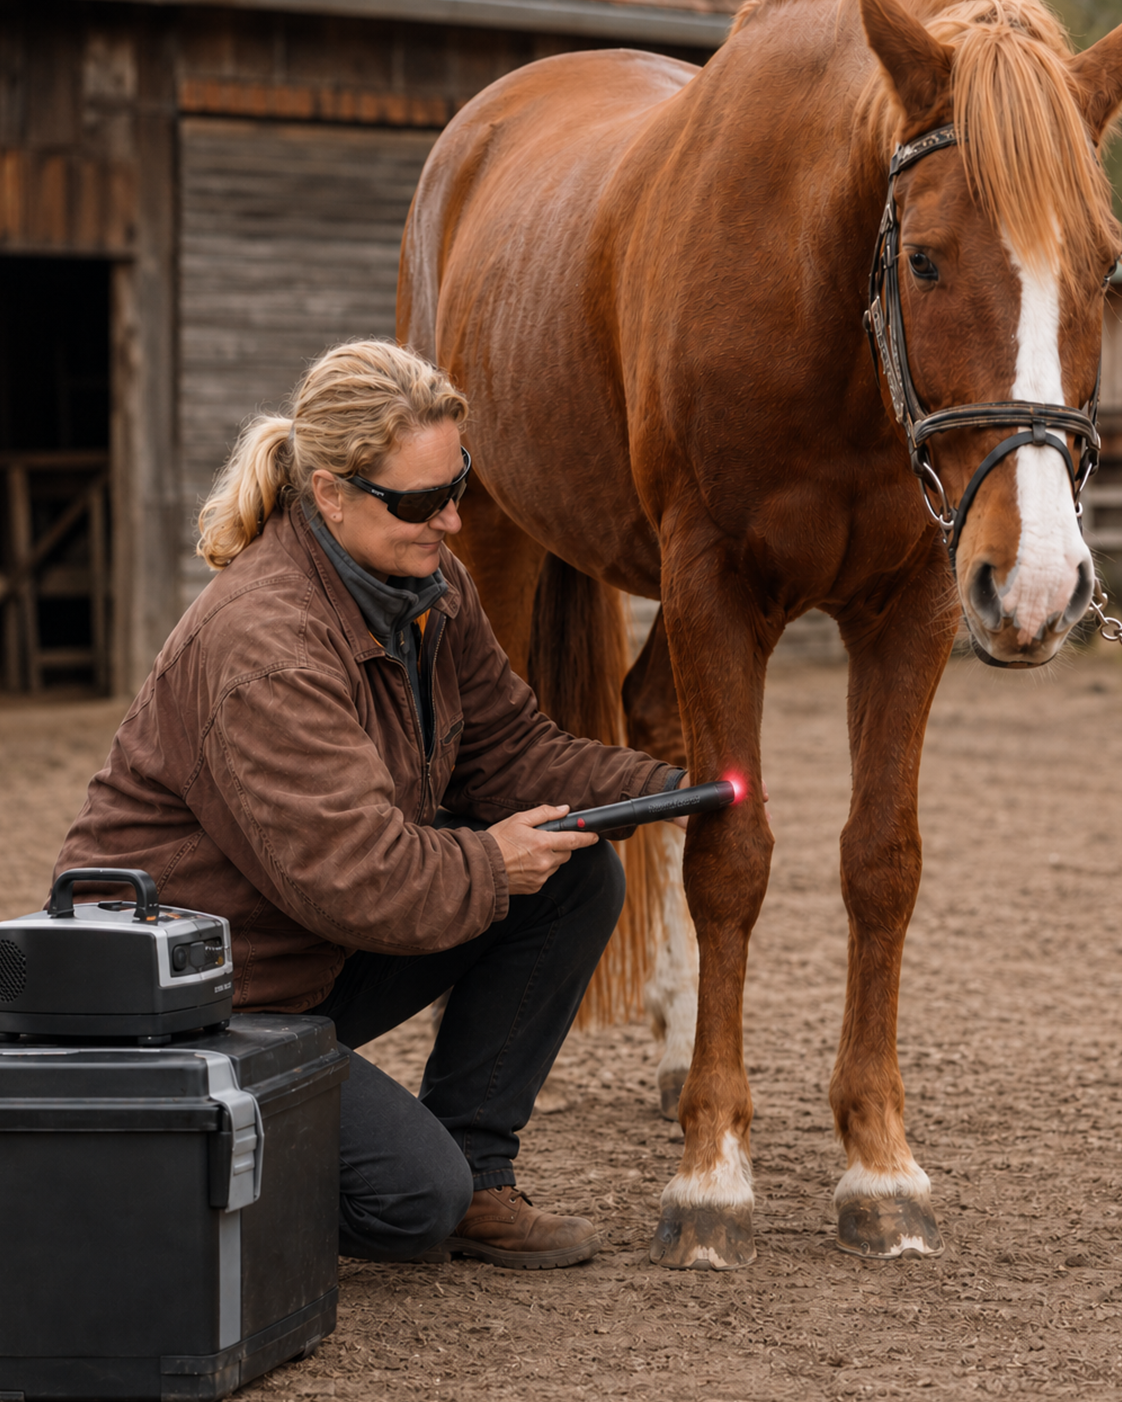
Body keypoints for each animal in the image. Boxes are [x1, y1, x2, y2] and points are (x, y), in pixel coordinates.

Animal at [398, 0, 1122, 1268]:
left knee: (652, 730)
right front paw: (712, 1179)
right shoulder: (715, 589)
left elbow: (881, 863)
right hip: (489, 535)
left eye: (1108, 264)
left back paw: (678, 1040)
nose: (1039, 580)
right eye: (926, 257)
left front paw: (878, 1162)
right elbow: (730, 858)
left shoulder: (914, 608)